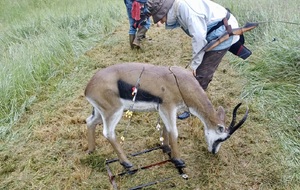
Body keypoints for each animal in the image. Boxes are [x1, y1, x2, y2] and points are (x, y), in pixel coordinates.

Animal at [85, 62, 248, 168]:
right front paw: (178, 160)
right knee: (108, 133)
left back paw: (91, 150)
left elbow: (165, 128)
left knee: (89, 122)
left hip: (100, 112)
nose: (214, 152)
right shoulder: (167, 107)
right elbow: (174, 131)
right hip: (113, 112)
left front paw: (166, 148)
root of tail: (88, 87)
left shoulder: (166, 110)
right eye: (221, 138)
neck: (181, 83)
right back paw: (127, 164)